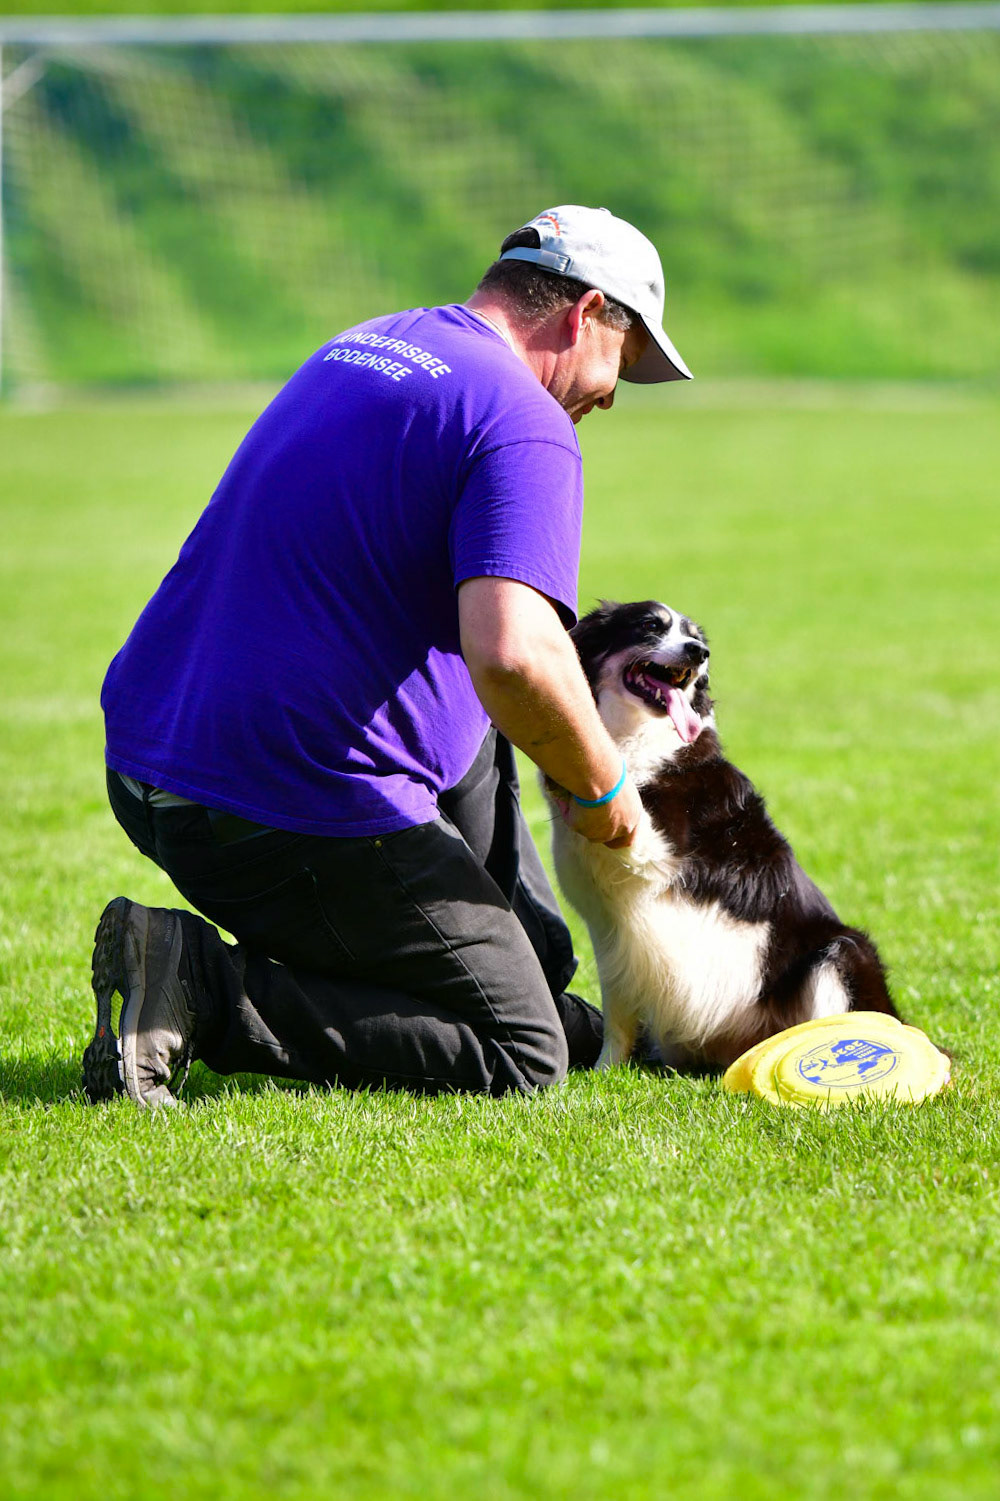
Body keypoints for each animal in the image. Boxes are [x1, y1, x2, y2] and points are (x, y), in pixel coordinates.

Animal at [543, 600, 899, 1071]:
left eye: (696, 638)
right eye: (650, 625)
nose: (698, 653)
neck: (640, 738)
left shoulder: (661, 857)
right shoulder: (611, 925)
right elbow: (618, 1009)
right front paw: (605, 1071)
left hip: (842, 950)